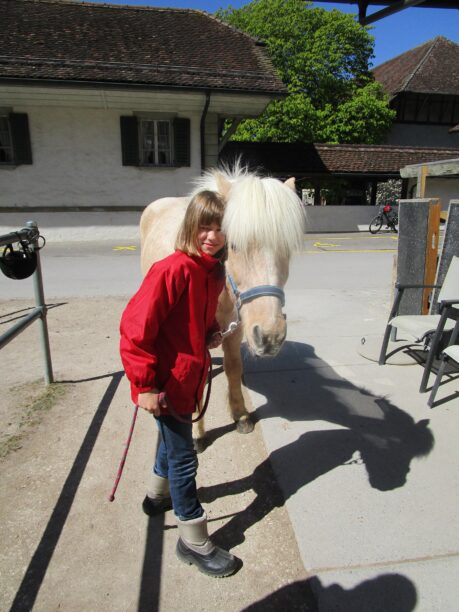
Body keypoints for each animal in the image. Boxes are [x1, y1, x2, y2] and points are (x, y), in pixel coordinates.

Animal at [140, 165, 306, 448]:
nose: (270, 337)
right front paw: (197, 432)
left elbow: (233, 367)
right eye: (234, 245)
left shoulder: (236, 327)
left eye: (286, 249)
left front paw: (240, 415)